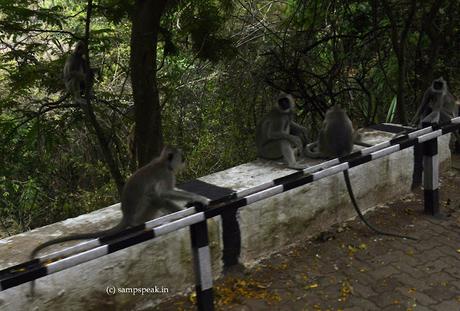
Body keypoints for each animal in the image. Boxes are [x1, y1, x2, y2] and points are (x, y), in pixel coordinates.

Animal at [28, 147, 208, 296]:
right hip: (141, 212)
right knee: (154, 197)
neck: (163, 162)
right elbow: (163, 194)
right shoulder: (165, 175)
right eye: (181, 157)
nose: (184, 160)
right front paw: (197, 198)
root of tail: (126, 216)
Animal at [306, 105, 416, 241]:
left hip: (325, 148)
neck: (337, 112)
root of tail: (340, 152)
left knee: (322, 134)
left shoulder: (326, 121)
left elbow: (322, 129)